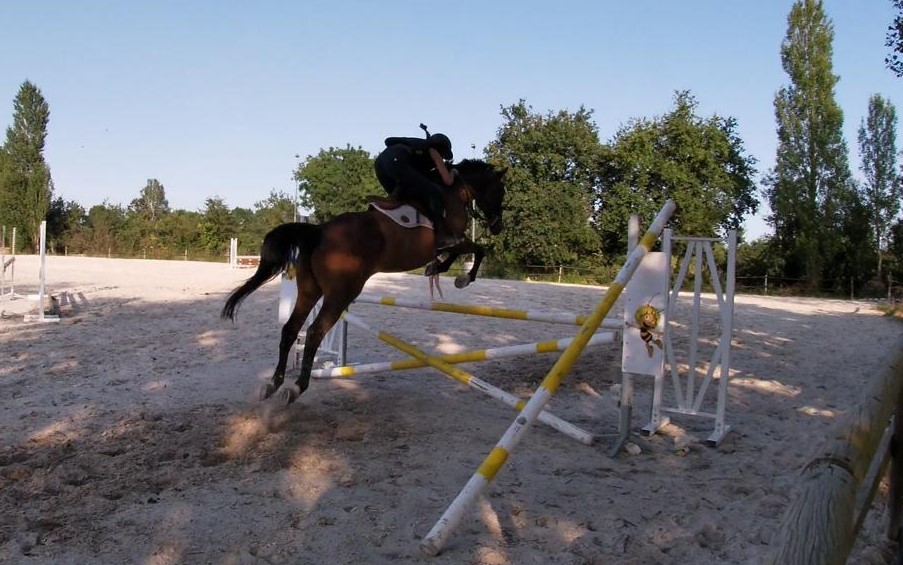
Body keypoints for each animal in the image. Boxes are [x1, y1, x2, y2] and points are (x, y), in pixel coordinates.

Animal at [221, 160, 508, 406]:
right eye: (500, 191)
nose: (497, 227)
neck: (452, 193)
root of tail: (321, 230)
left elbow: (464, 252)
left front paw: (439, 268)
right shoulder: (454, 239)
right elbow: (477, 250)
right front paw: (460, 276)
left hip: (310, 291)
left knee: (291, 330)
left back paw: (274, 383)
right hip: (341, 294)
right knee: (314, 332)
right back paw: (296, 387)